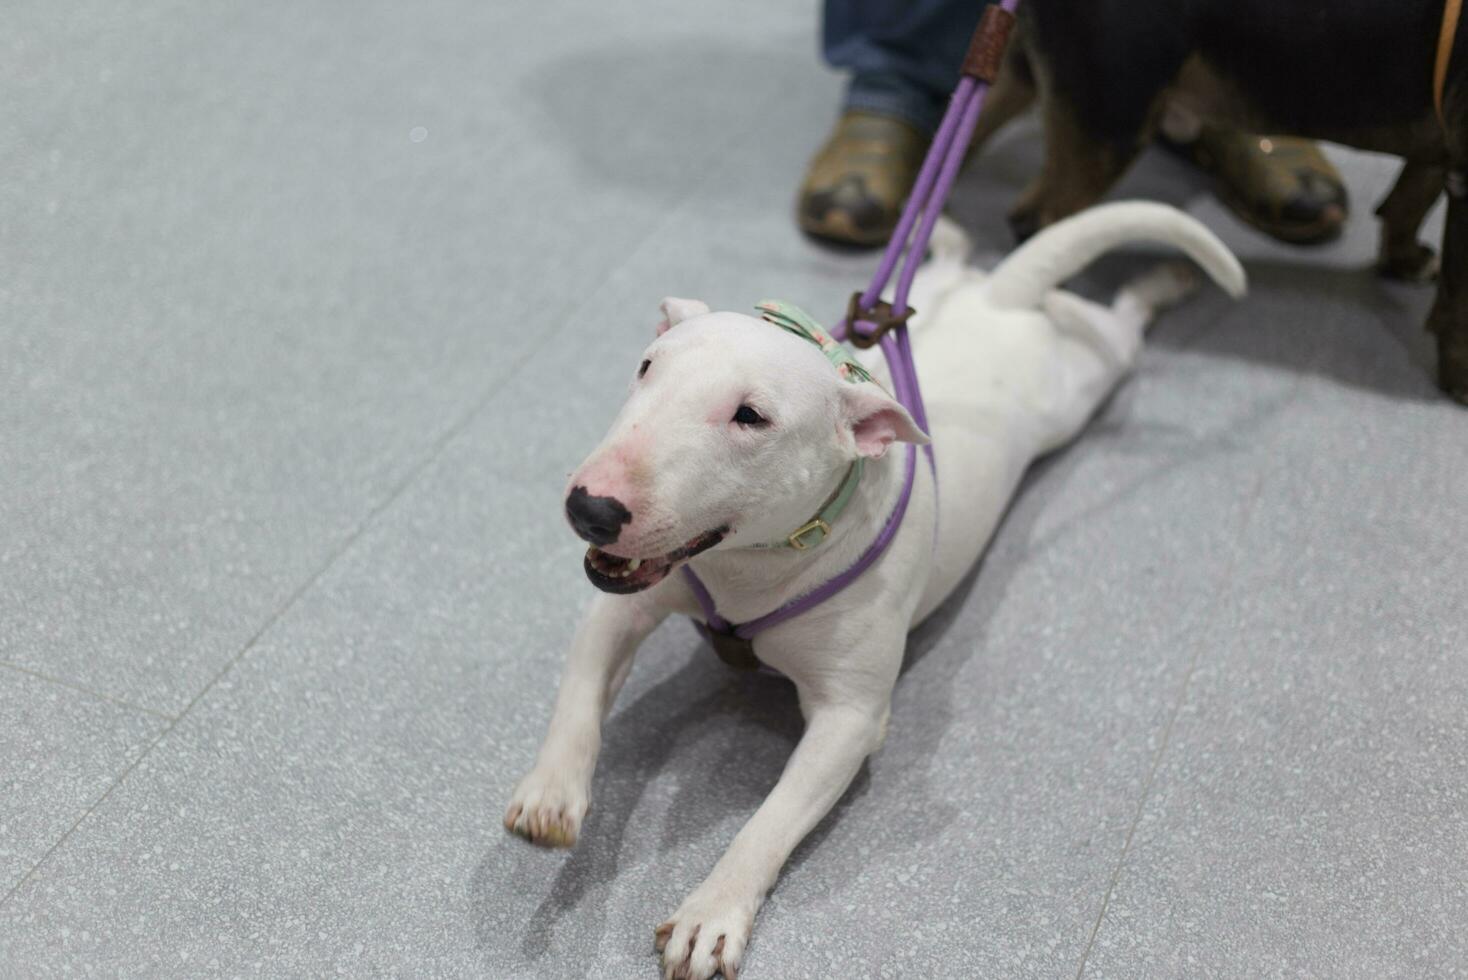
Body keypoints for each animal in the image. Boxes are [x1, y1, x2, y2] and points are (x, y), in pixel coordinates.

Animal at [504, 200, 1238, 979]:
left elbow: (769, 819)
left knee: (1119, 325)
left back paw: (1162, 284)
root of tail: (995, 296)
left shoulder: (850, 718)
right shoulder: (627, 600)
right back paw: (939, 232)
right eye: (646, 366)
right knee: (956, 262)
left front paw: (711, 913)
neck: (750, 565)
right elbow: (580, 694)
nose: (590, 508)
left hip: (1087, 379)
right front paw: (552, 796)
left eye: (750, 416)